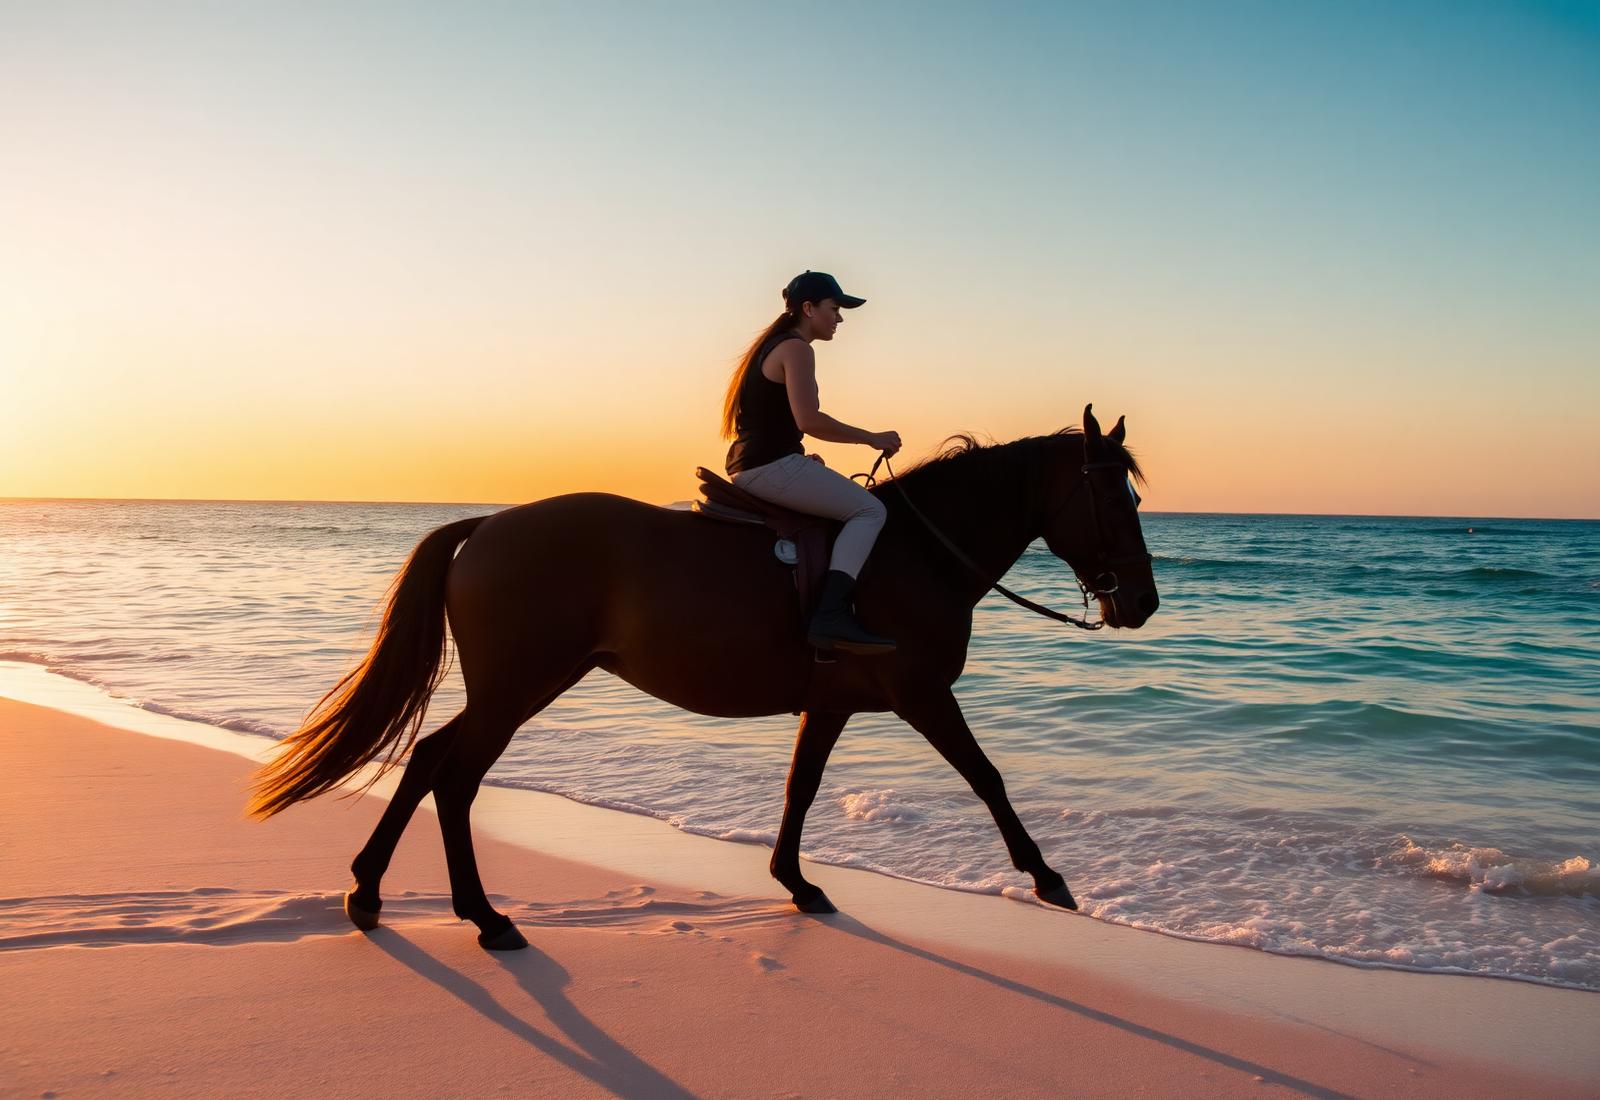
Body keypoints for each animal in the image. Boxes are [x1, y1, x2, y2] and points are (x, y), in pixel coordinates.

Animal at [249, 405, 1159, 951]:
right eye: (1117, 502)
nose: (1143, 601)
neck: (916, 551)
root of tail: (490, 526)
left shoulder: (832, 702)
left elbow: (802, 787)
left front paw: (796, 882)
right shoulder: (923, 696)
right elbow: (987, 777)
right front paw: (1048, 878)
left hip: (521, 687)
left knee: (432, 761)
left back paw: (370, 893)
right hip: (515, 691)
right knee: (454, 776)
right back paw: (482, 916)